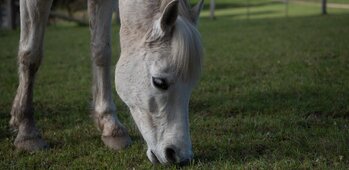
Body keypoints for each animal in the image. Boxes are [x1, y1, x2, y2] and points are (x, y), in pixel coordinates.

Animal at [10, 0, 203, 165]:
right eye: (159, 82)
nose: (180, 156)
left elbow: (101, 51)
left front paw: (110, 126)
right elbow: (31, 54)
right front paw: (27, 133)